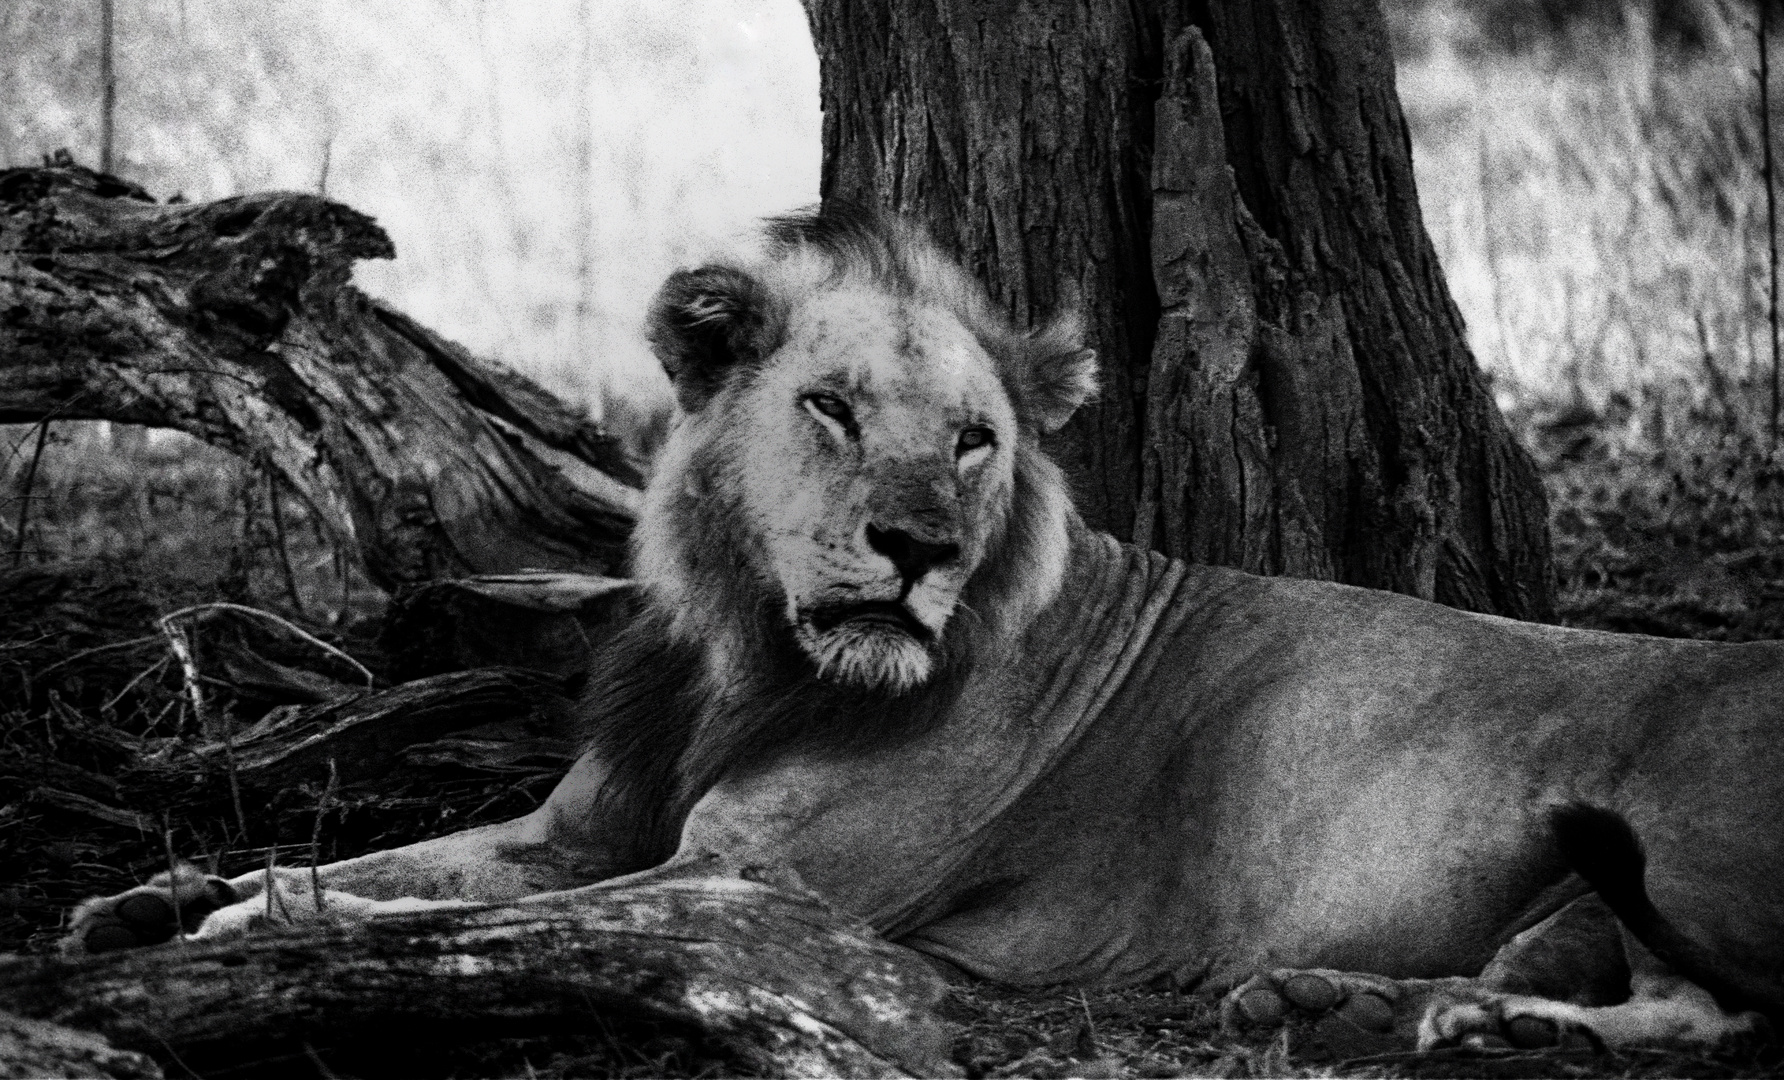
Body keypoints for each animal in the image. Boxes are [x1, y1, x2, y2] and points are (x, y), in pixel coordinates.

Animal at [69, 204, 1784, 1049]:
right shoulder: (585, 830)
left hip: (1689, 835)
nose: (917, 552)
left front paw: (248, 930)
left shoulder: (757, 892)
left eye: (972, 443)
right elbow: (406, 867)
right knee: (1672, 1002)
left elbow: (455, 922)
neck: (745, 659)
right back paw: (1385, 1015)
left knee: (1737, 1013)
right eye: (831, 410)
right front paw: (166, 900)